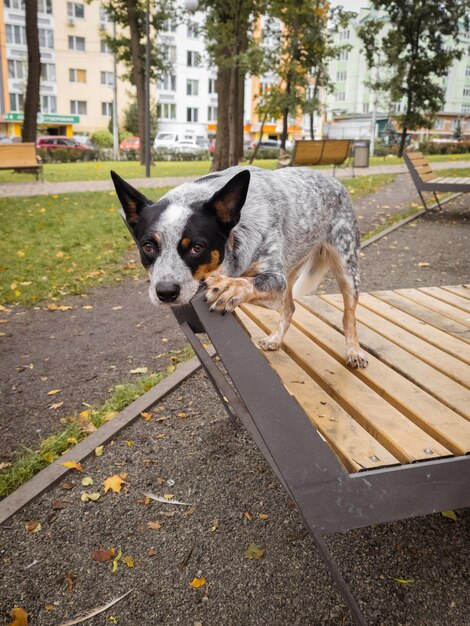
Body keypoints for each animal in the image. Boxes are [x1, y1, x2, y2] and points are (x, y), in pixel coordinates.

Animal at [112, 166, 370, 368]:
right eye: (148, 246)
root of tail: (333, 180)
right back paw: (275, 339)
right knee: (289, 308)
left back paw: (354, 351)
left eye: (197, 247)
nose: (165, 292)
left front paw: (230, 288)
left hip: (347, 270)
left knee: (348, 316)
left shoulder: (275, 280)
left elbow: (247, 283)